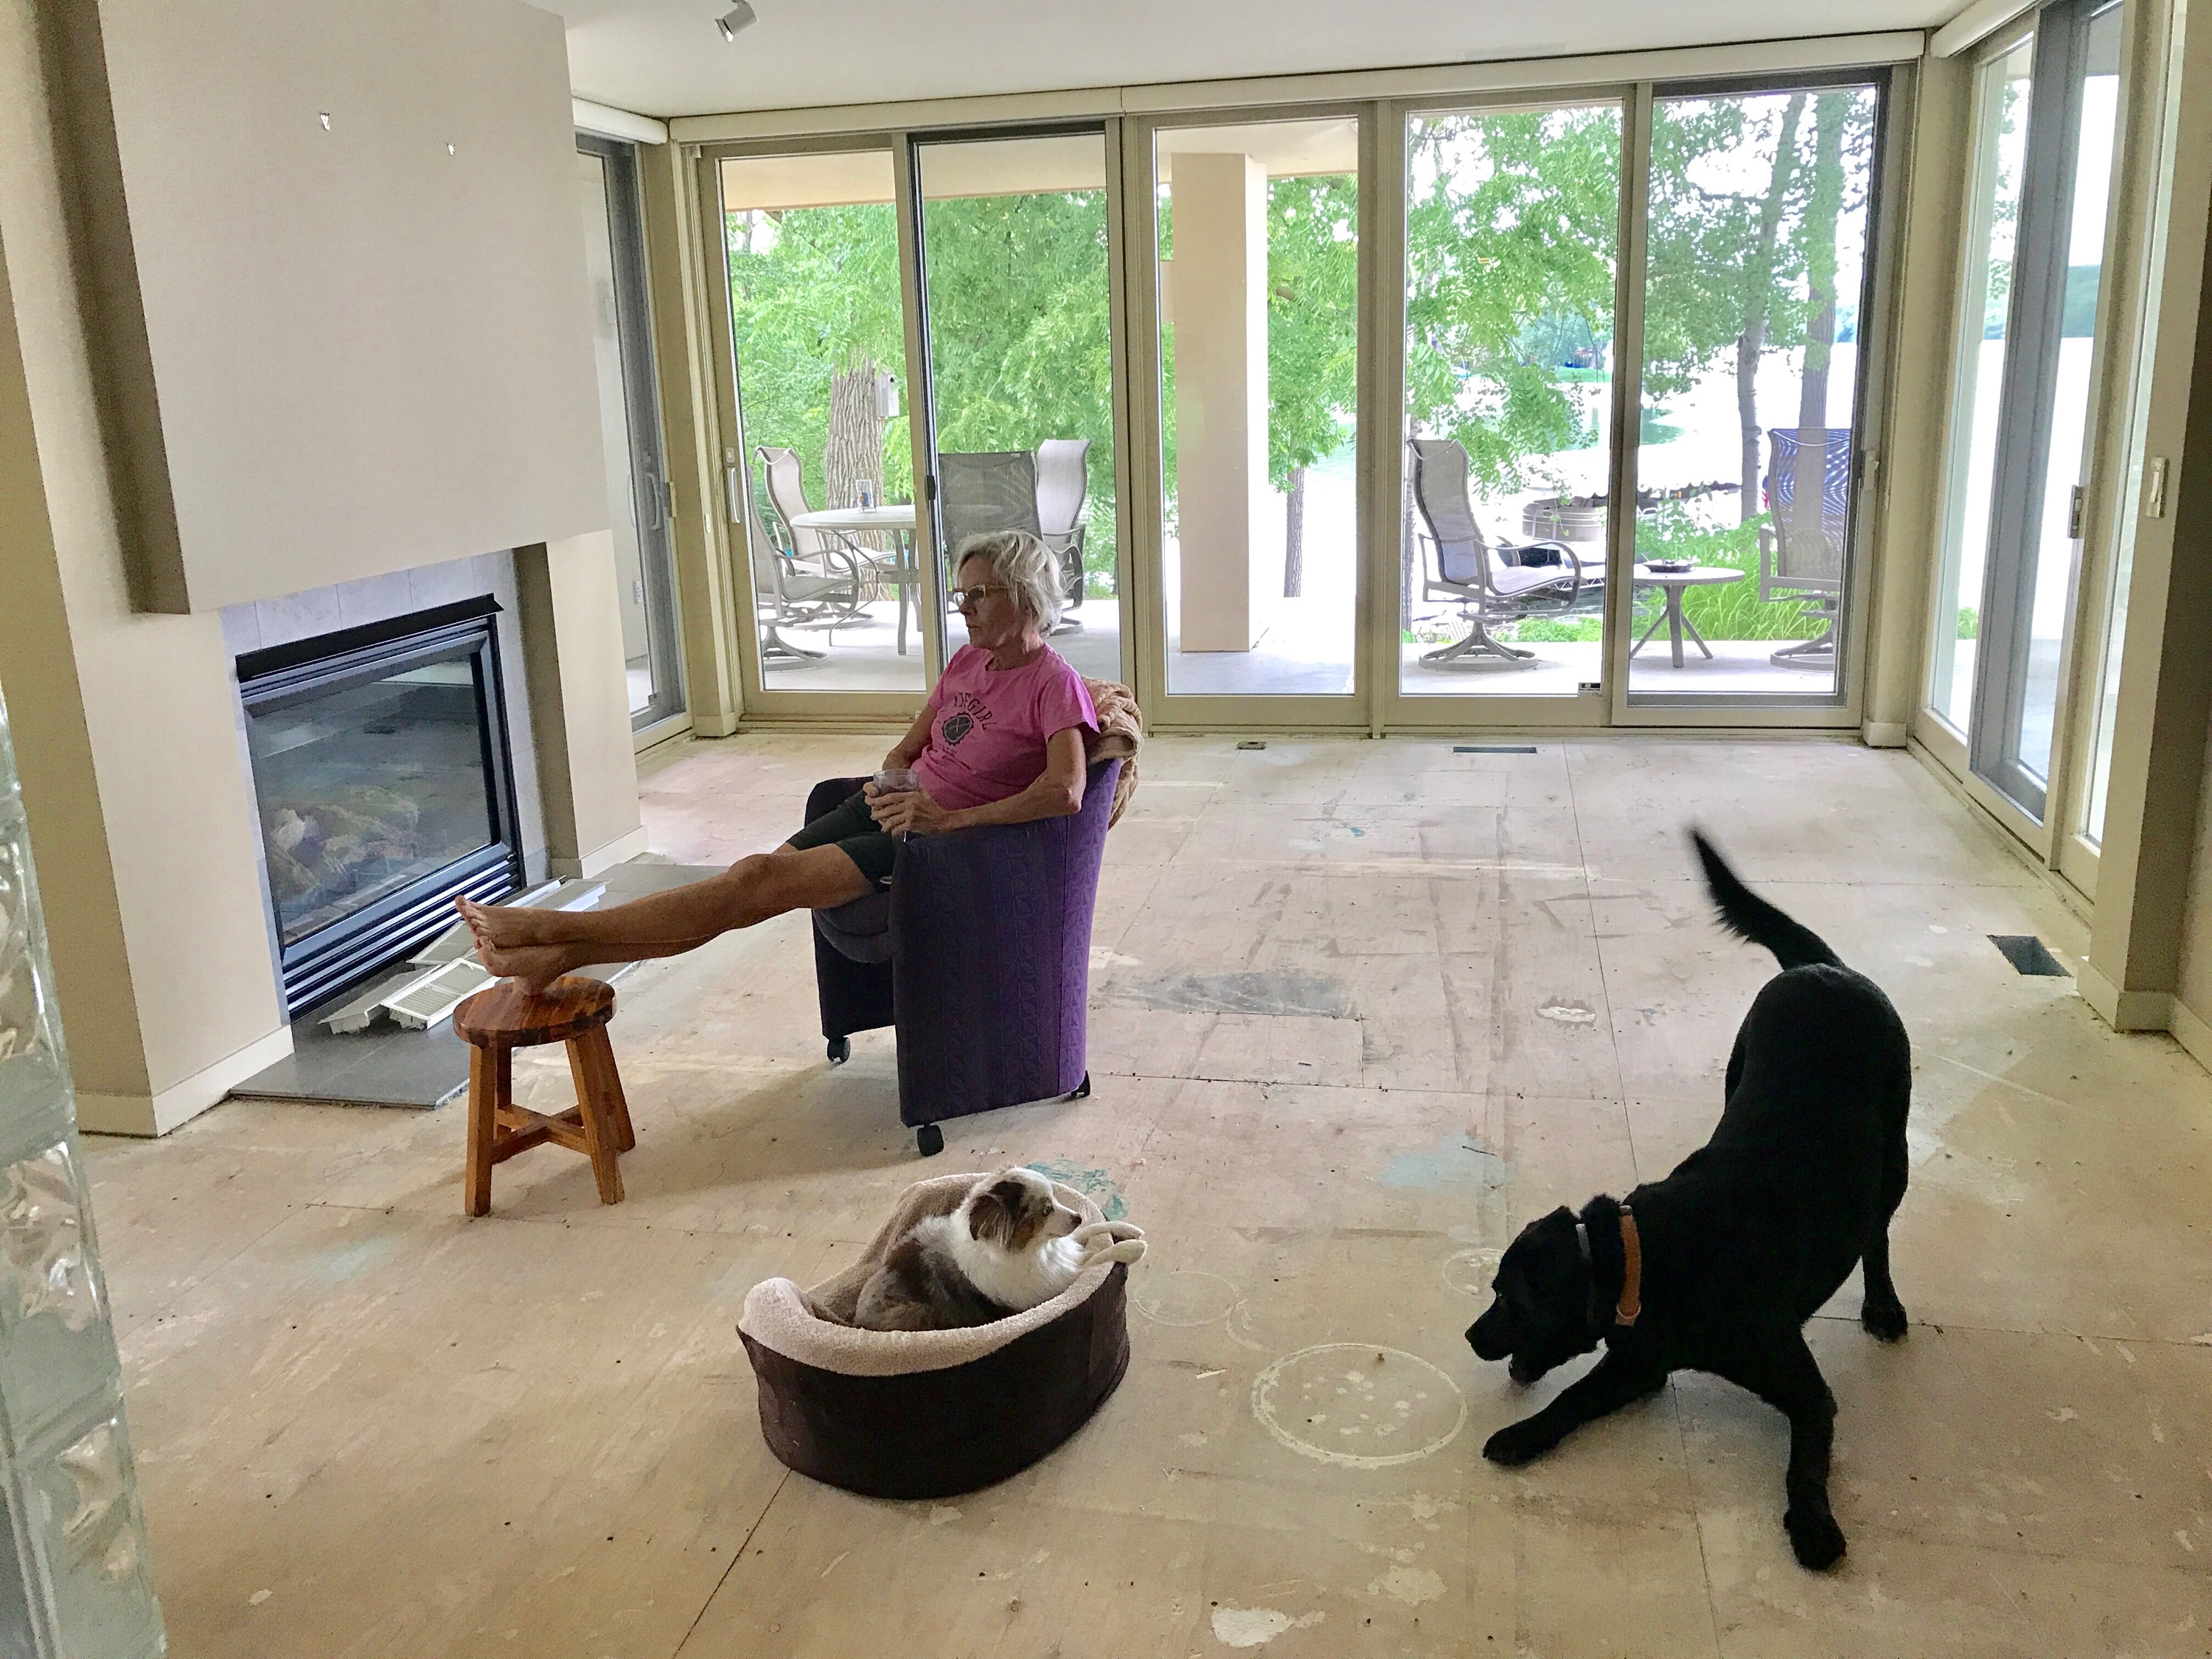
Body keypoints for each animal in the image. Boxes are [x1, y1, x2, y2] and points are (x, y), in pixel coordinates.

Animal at [853, 1168, 1122, 1332]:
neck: (1031, 1252)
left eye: (1056, 1199)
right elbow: (1098, 1257)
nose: (1078, 1217)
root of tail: (858, 1319)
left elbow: (1093, 1232)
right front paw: (1125, 1250)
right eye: (1047, 1210)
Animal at [1467, 830, 1911, 1570]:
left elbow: (1805, 1459)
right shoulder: (1639, 1363)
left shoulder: (1803, 1387)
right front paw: (1524, 1435)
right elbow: (1573, 1399)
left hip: (1895, 1153)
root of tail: (1821, 966)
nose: (1471, 1336)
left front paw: (1813, 1525)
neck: (1645, 1259)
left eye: (1511, 1300)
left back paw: (1883, 1305)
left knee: (1877, 1231)